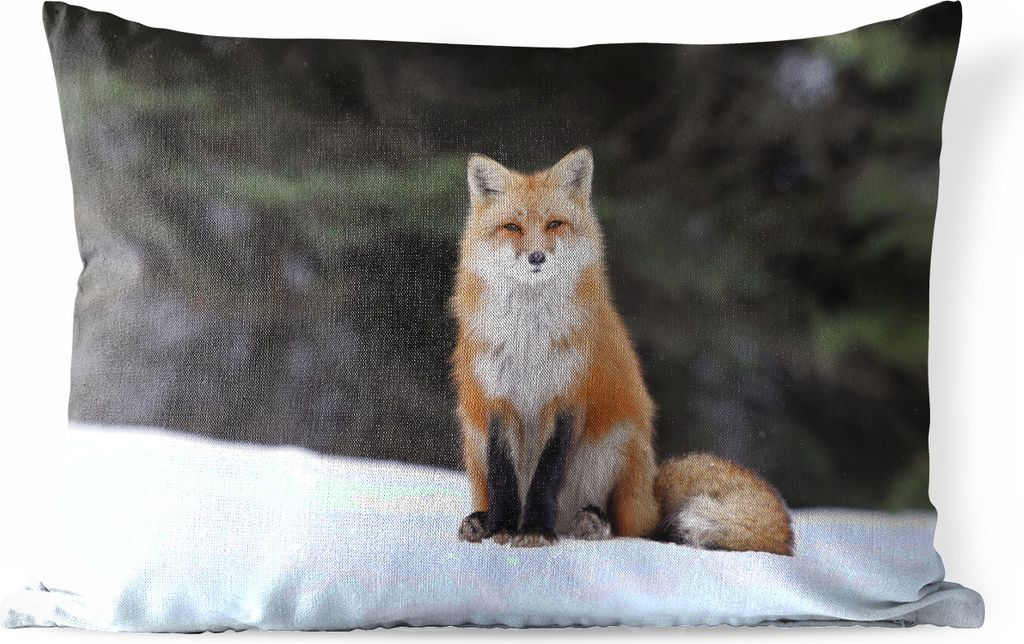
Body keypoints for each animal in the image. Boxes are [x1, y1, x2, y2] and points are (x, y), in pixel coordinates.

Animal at [450, 147, 793, 555]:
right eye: (512, 228)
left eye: (554, 224)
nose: (536, 257)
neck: (529, 339)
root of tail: (650, 491)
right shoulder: (496, 398)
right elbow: (504, 477)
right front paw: (502, 529)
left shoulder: (568, 398)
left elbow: (546, 475)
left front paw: (533, 530)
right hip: (474, 441)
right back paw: (480, 521)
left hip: (614, 445)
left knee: (630, 527)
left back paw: (592, 522)